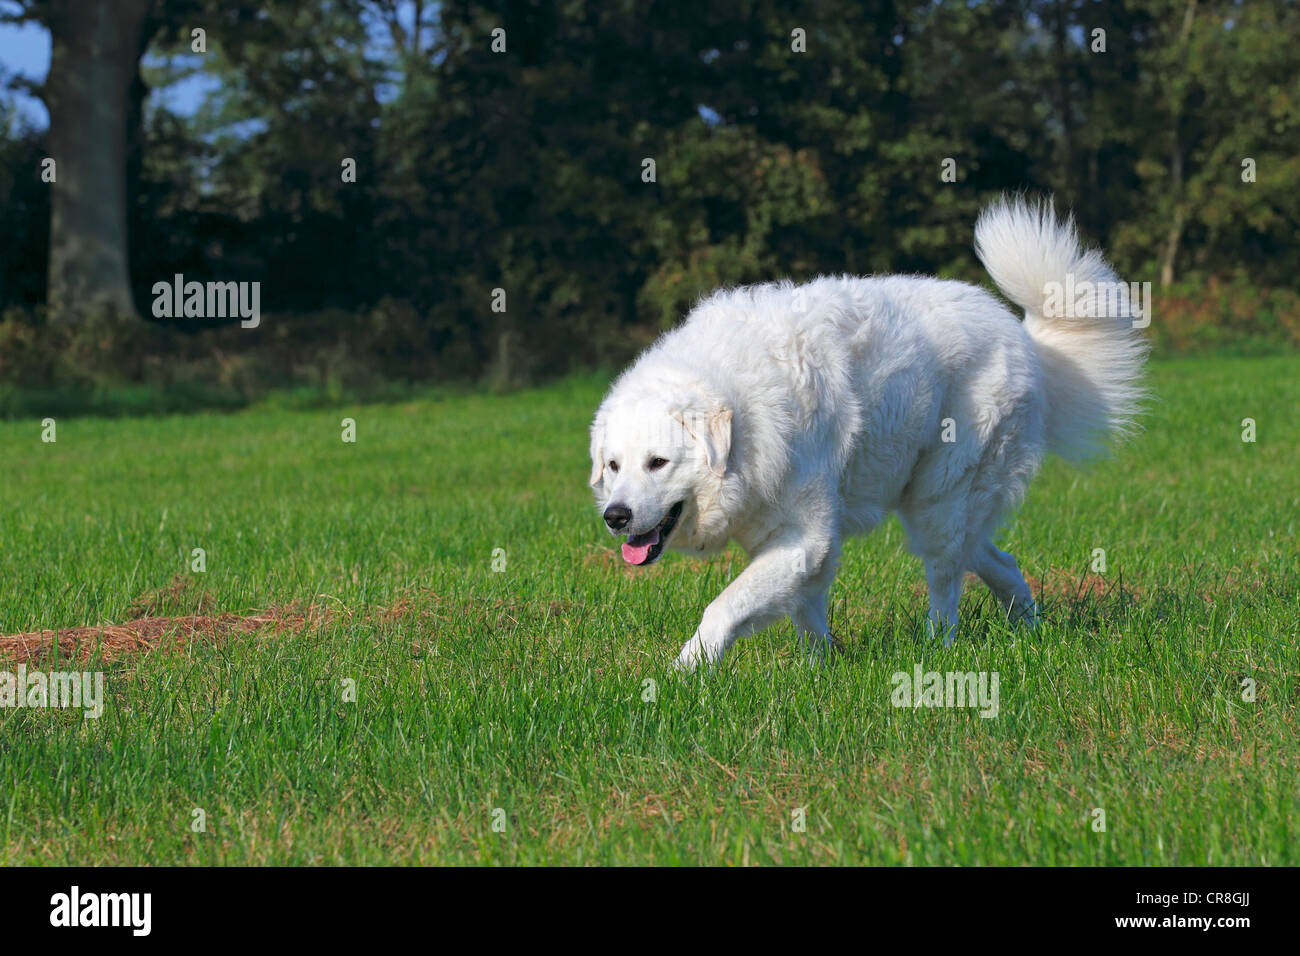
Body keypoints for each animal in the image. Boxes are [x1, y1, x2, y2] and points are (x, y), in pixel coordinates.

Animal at [590, 197, 1149, 671]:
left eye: (658, 462)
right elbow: (805, 611)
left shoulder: (806, 537)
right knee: (998, 561)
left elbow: (723, 608)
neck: (746, 428)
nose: (615, 516)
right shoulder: (795, 543)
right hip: (941, 507)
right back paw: (1028, 629)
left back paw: (938, 648)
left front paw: (683, 674)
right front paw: (821, 671)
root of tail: (1025, 339)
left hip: (941, 502)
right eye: (613, 466)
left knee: (947, 584)